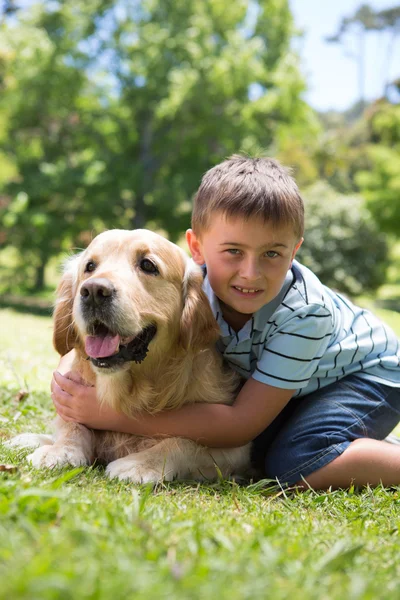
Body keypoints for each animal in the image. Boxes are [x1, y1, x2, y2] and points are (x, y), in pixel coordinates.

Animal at [10, 230, 250, 482]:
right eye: (90, 266)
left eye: (147, 265)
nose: (94, 291)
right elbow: (72, 424)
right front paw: (60, 450)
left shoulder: (236, 447)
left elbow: (186, 441)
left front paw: (140, 464)